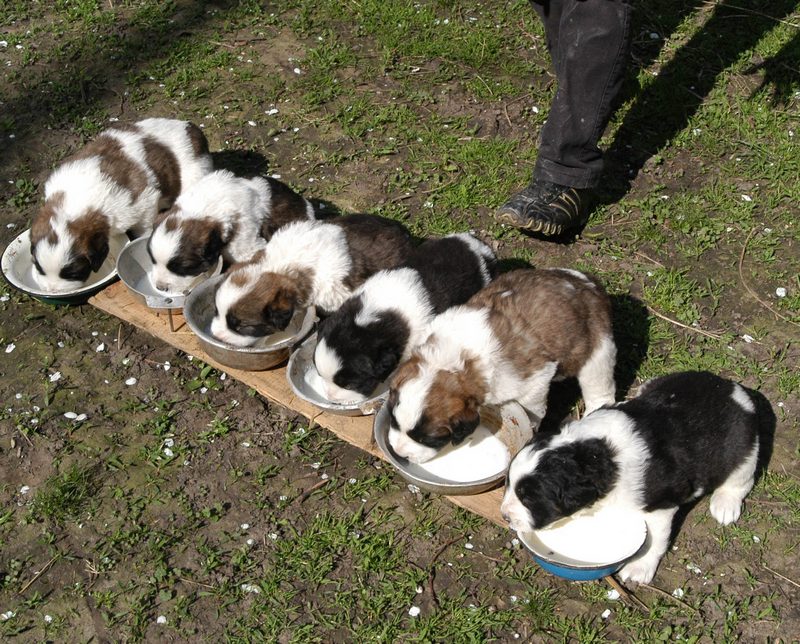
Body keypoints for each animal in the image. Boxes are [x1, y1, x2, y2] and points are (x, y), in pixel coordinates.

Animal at [30, 118, 212, 292]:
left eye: (73, 273)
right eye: (39, 267)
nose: (52, 290)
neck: (73, 202)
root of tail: (190, 127)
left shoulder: (142, 203)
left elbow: (144, 228)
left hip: (194, 175)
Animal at [386, 268, 616, 464]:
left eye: (427, 439)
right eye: (394, 421)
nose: (399, 453)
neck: (451, 359)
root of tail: (587, 282)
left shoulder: (533, 381)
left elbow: (531, 410)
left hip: (597, 349)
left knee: (598, 385)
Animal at [501, 371, 762, 585]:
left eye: (529, 499)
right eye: (508, 484)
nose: (505, 517)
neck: (600, 455)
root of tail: (731, 388)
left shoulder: (660, 505)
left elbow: (653, 541)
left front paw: (639, 568)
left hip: (742, 449)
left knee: (740, 480)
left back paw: (725, 505)